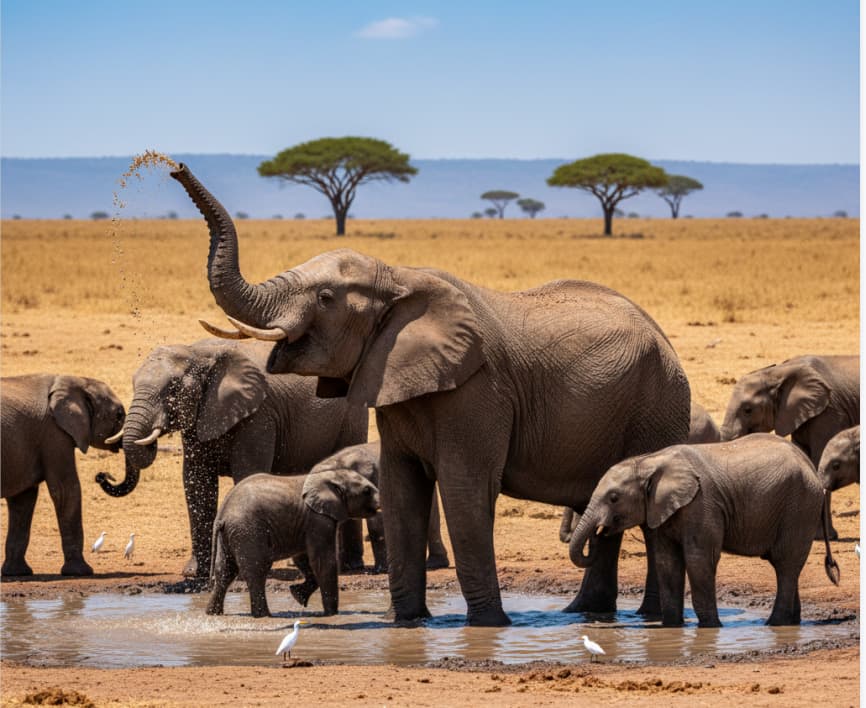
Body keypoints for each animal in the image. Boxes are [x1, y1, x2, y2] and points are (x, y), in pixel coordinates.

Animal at [1, 374, 125, 576]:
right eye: (119, 415)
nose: (102, 476)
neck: (75, 380)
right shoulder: (54, 433)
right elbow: (66, 490)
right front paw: (81, 572)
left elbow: (23, 500)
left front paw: (18, 573)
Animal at [98, 338, 367, 582]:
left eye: (173, 389)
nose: (102, 476)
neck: (198, 353)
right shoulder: (200, 415)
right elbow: (196, 483)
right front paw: (195, 573)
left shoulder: (259, 414)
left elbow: (246, 472)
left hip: (353, 414)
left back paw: (350, 567)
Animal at [207, 468, 381, 617]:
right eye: (367, 491)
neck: (329, 475)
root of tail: (222, 513)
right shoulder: (318, 519)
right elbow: (323, 561)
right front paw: (331, 615)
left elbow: (304, 559)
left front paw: (297, 595)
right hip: (248, 531)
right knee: (257, 570)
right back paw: (264, 616)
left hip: (230, 535)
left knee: (225, 571)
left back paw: (213, 614)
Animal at [570, 434, 839, 627]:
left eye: (614, 498)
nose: (600, 531)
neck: (649, 461)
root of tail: (812, 468)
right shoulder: (661, 510)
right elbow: (667, 562)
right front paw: (670, 628)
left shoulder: (701, 504)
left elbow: (699, 560)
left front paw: (710, 627)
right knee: (787, 568)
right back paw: (792, 622)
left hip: (799, 507)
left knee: (785, 565)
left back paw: (774, 624)